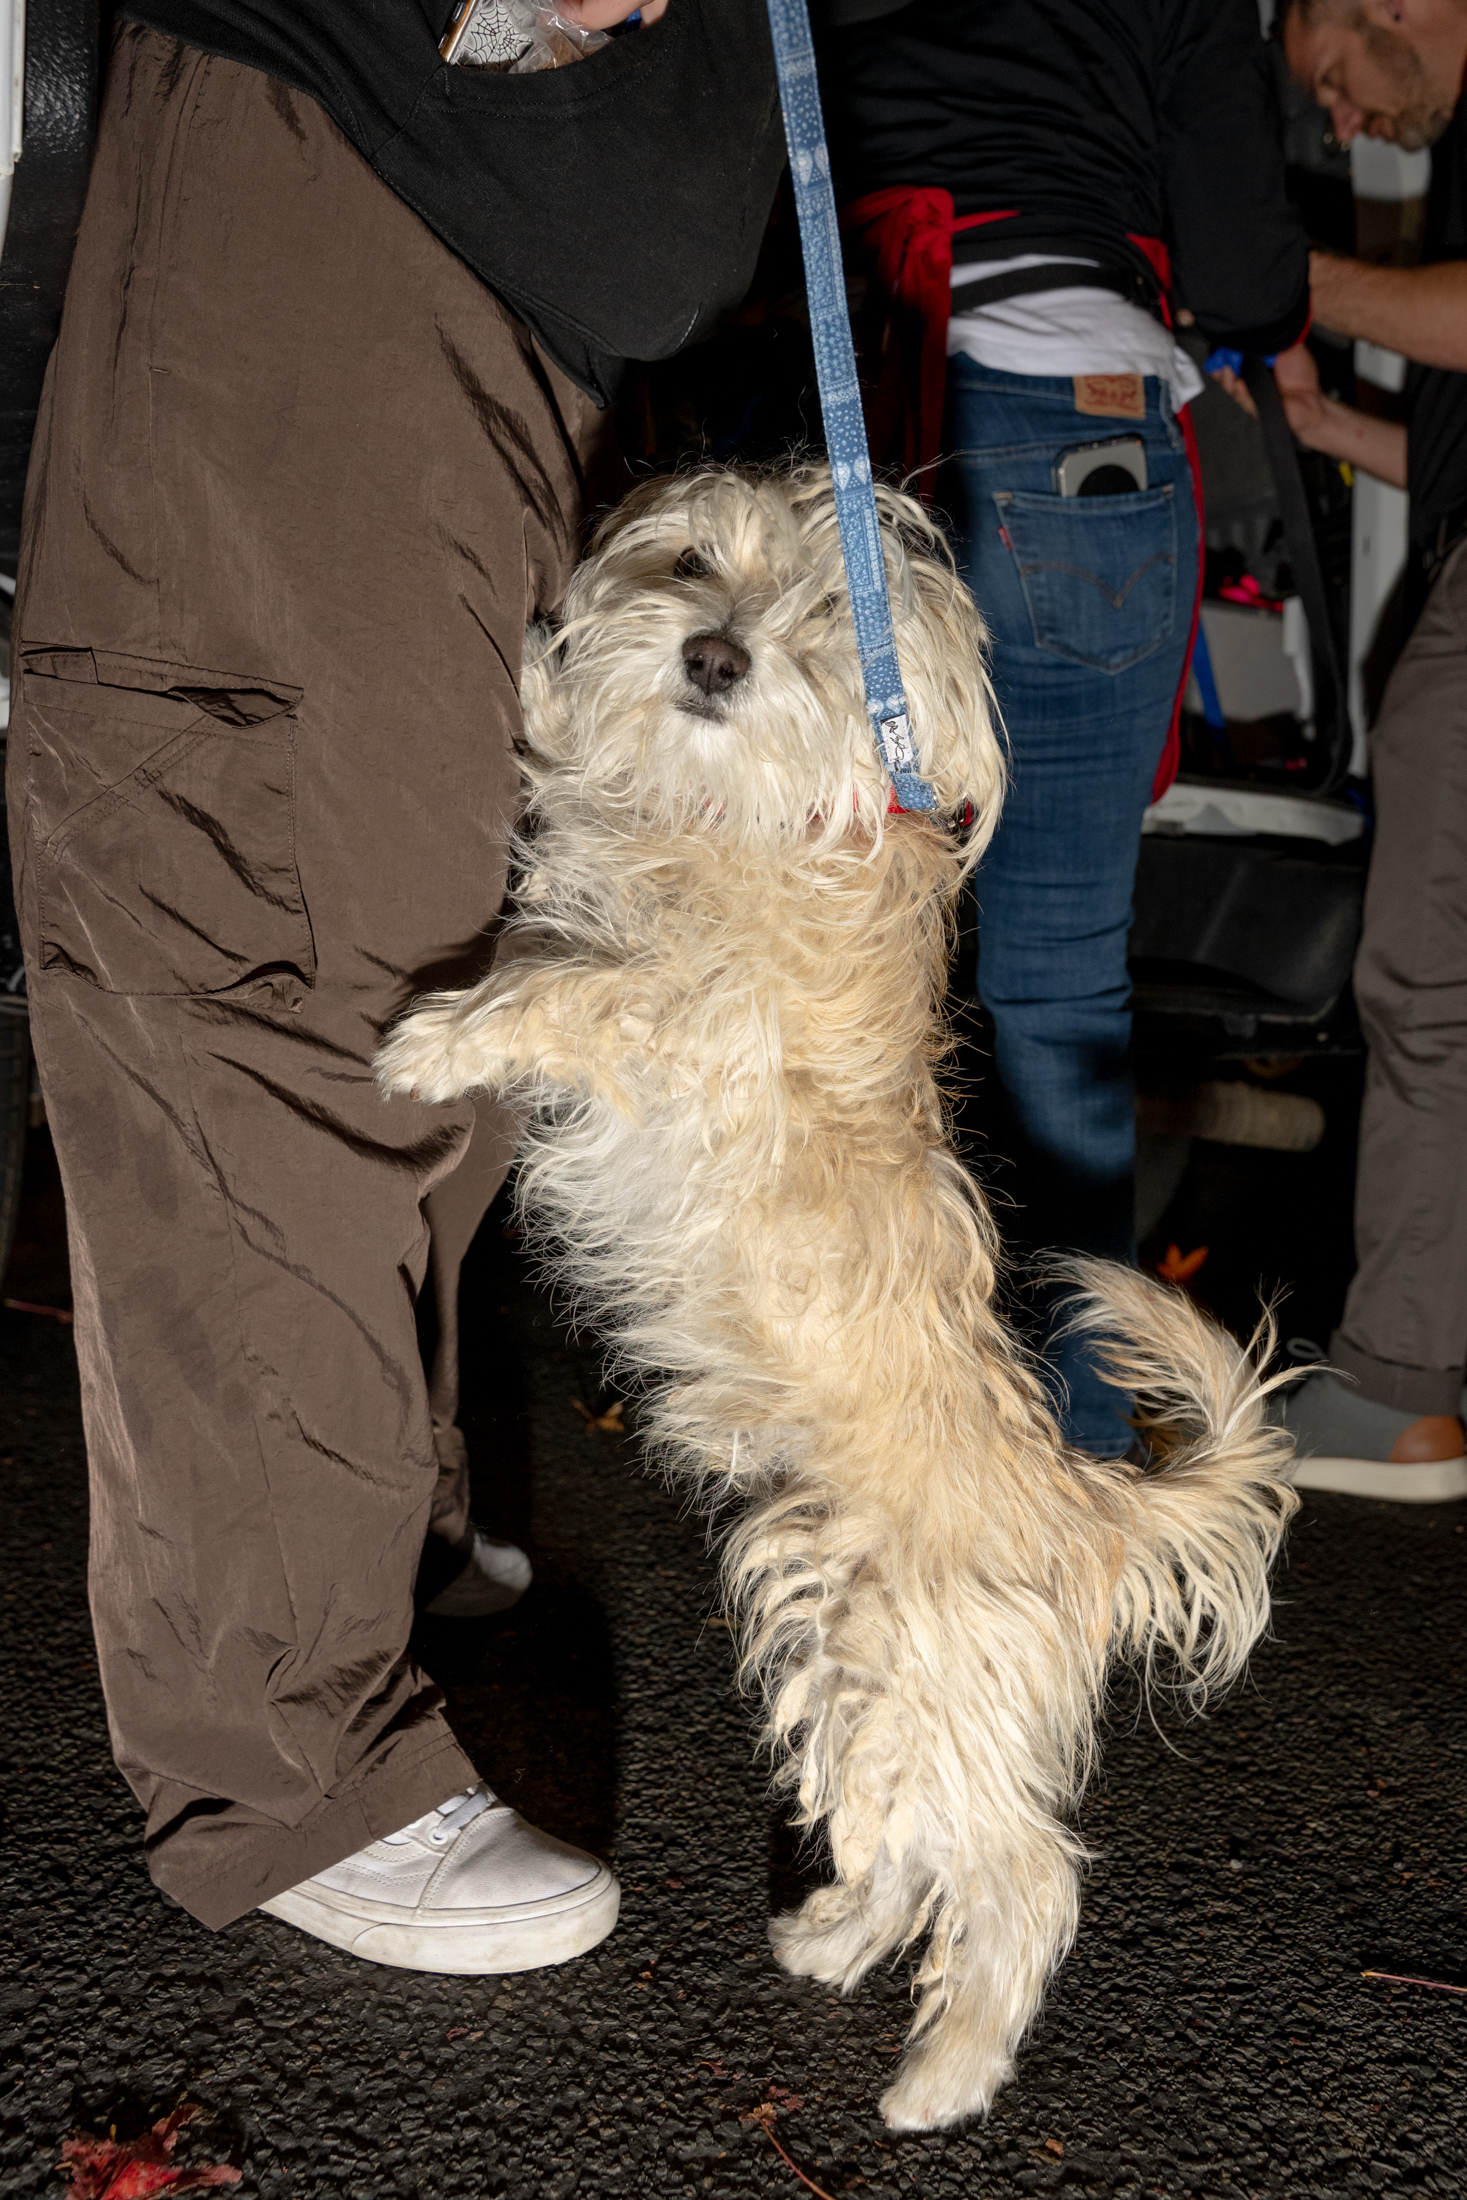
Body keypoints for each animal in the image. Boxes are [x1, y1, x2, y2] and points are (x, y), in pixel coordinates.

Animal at [378, 464, 1293, 2129]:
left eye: (822, 617)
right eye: (690, 563)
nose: (710, 657)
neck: (727, 817)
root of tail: (1095, 1513)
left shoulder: (689, 1032)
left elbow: (574, 991)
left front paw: (433, 1042)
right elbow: (556, 894)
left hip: (906, 1667)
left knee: (1019, 1874)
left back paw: (945, 2075)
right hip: (837, 1654)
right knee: (910, 1841)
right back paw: (833, 1938)